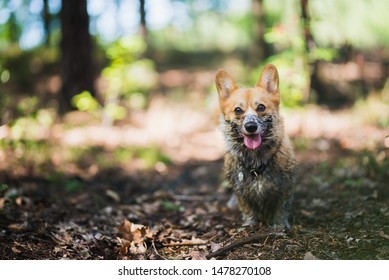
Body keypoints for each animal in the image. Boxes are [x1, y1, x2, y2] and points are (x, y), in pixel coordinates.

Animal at [214, 63, 296, 228]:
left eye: (261, 107)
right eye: (238, 110)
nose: (251, 126)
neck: (255, 161)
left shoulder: (285, 189)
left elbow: (281, 209)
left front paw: (279, 226)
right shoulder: (241, 191)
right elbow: (247, 209)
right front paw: (249, 224)